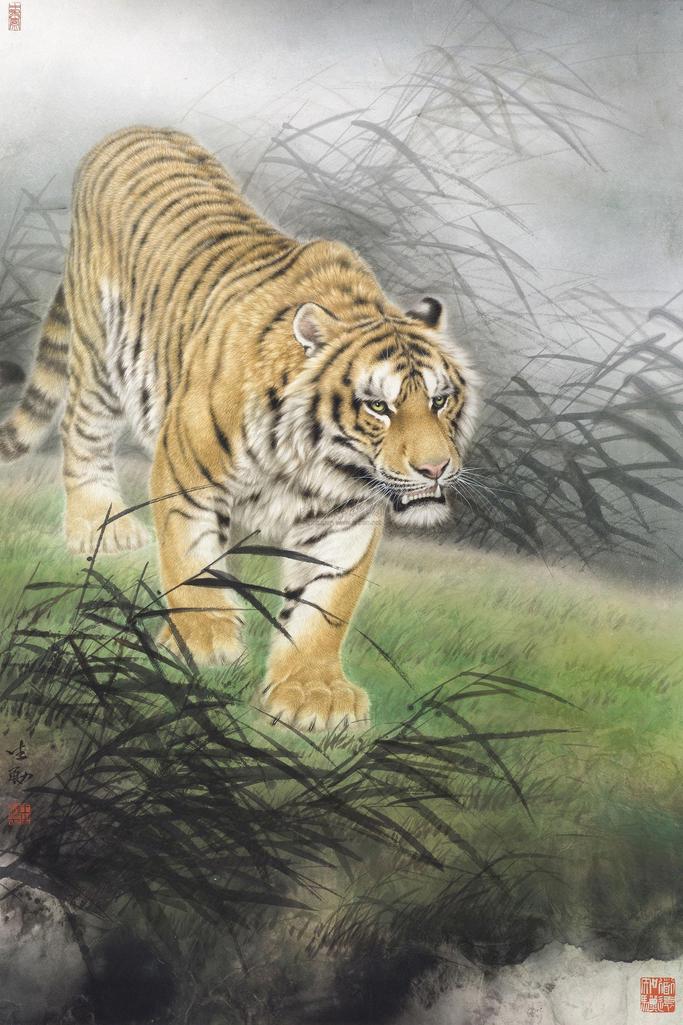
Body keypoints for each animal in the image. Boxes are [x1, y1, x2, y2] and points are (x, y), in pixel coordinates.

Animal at [0, 126, 479, 731]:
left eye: (440, 400)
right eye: (378, 407)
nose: (435, 468)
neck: (315, 462)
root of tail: (133, 130)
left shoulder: (345, 518)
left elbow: (324, 606)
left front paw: (313, 695)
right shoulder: (187, 476)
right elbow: (192, 562)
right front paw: (204, 642)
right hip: (100, 354)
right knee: (81, 432)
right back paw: (102, 526)